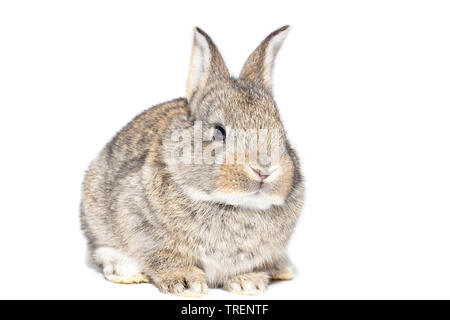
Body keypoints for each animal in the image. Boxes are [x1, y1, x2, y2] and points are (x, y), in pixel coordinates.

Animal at [81, 25, 306, 298]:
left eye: (282, 132)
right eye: (218, 132)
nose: (264, 170)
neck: (233, 205)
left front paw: (248, 283)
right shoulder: (142, 227)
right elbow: (164, 257)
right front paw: (186, 283)